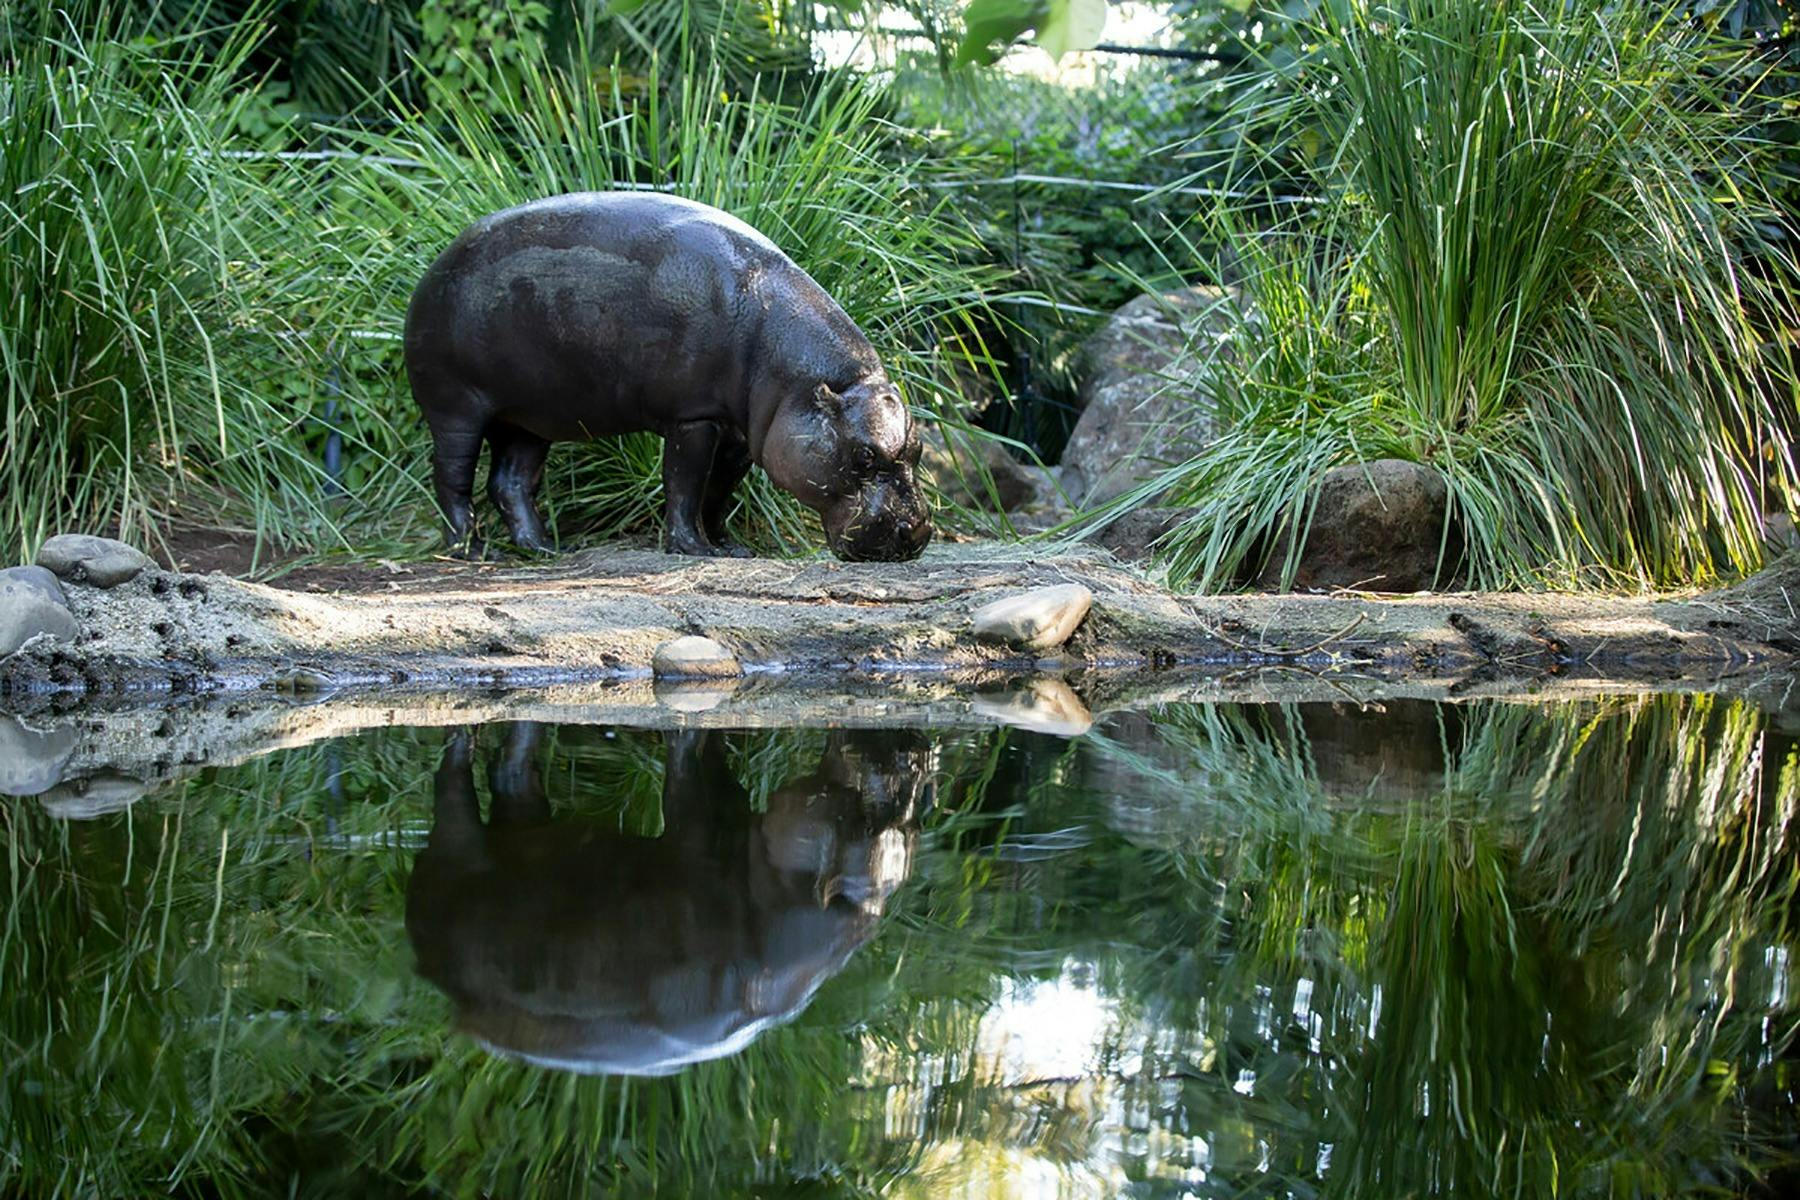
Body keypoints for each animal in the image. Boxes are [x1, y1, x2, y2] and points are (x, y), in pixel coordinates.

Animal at [404, 192, 933, 561]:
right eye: (863, 456)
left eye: (919, 449)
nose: (918, 531)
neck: (792, 375)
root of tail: (433, 267)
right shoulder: (693, 417)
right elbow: (684, 484)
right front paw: (693, 549)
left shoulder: (741, 433)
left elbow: (718, 493)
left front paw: (731, 548)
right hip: (456, 407)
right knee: (451, 479)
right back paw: (473, 551)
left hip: (528, 416)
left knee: (511, 483)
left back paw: (545, 549)